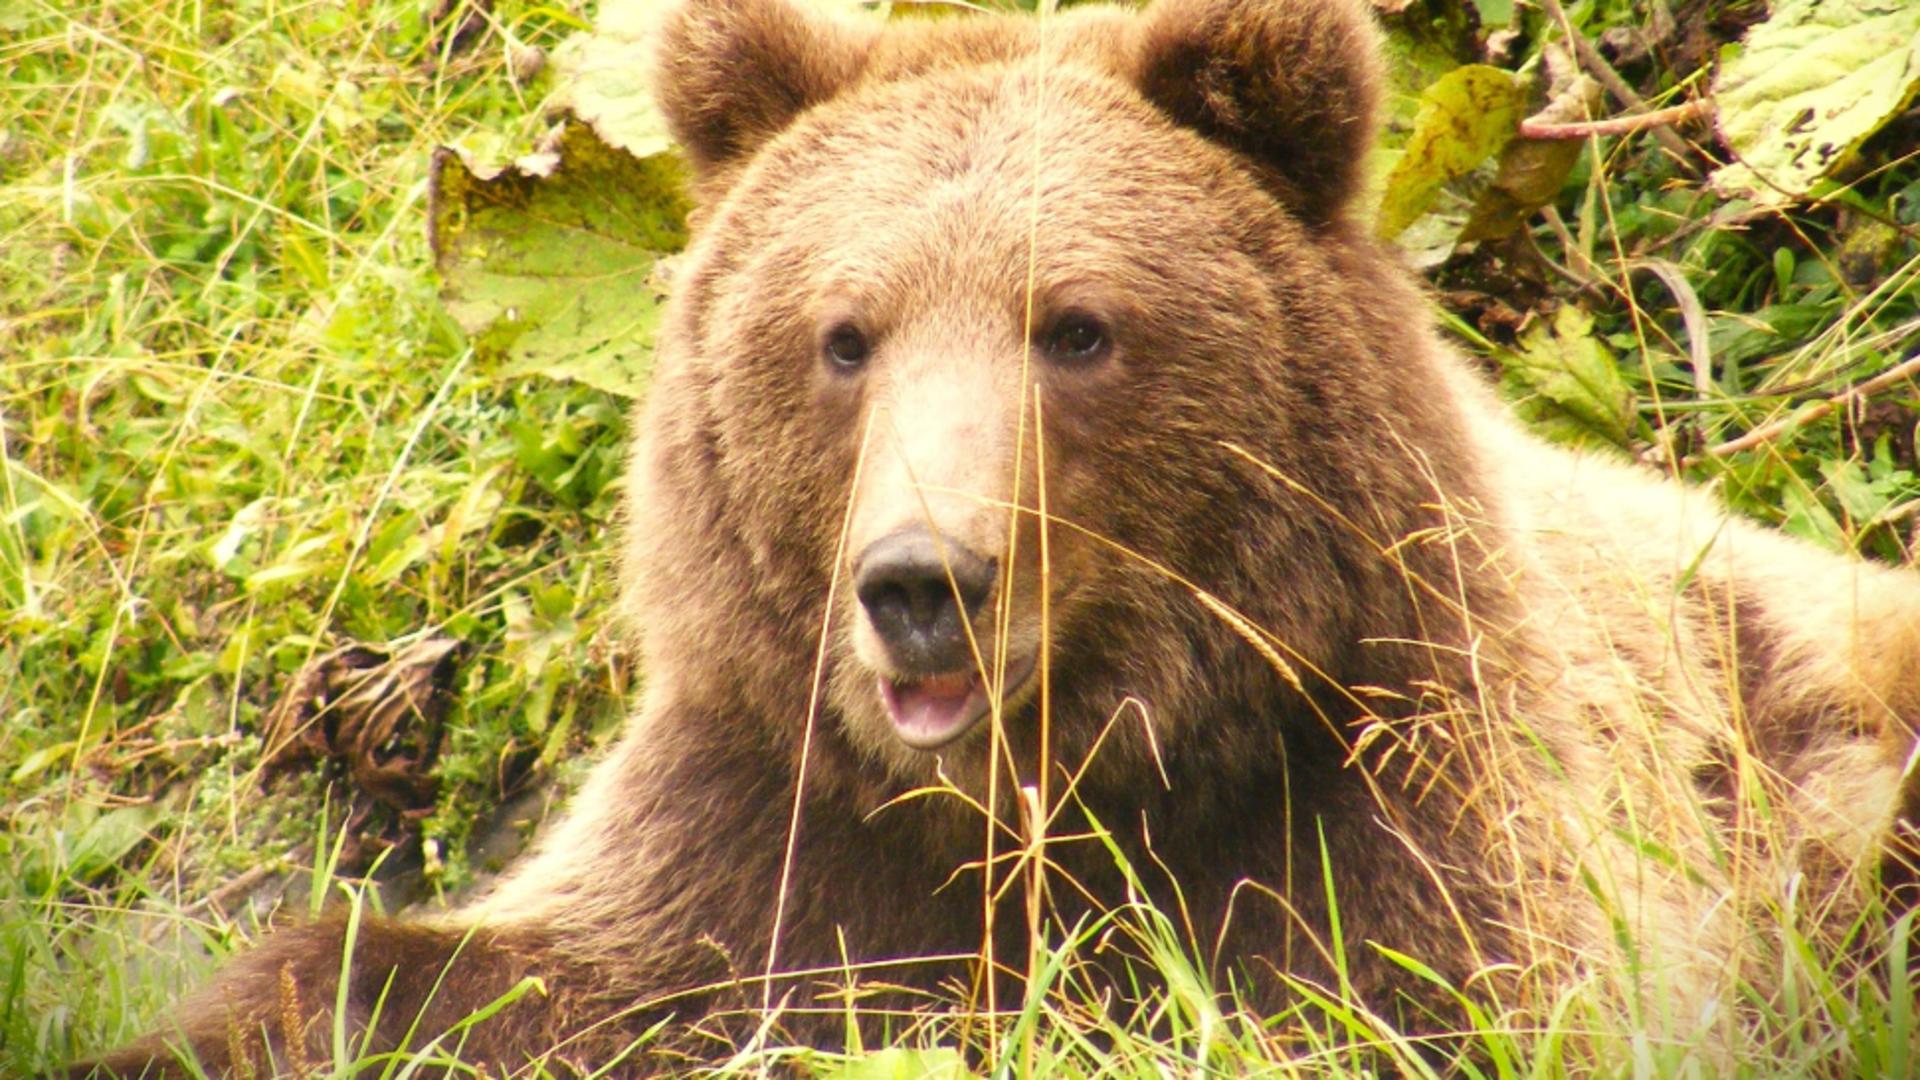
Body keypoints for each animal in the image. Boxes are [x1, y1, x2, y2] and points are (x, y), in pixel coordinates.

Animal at [74, 0, 1920, 1068]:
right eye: (844, 335)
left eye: (1078, 326)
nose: (919, 584)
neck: (1059, 783)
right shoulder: (778, 826)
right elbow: (447, 974)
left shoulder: (1415, 817)